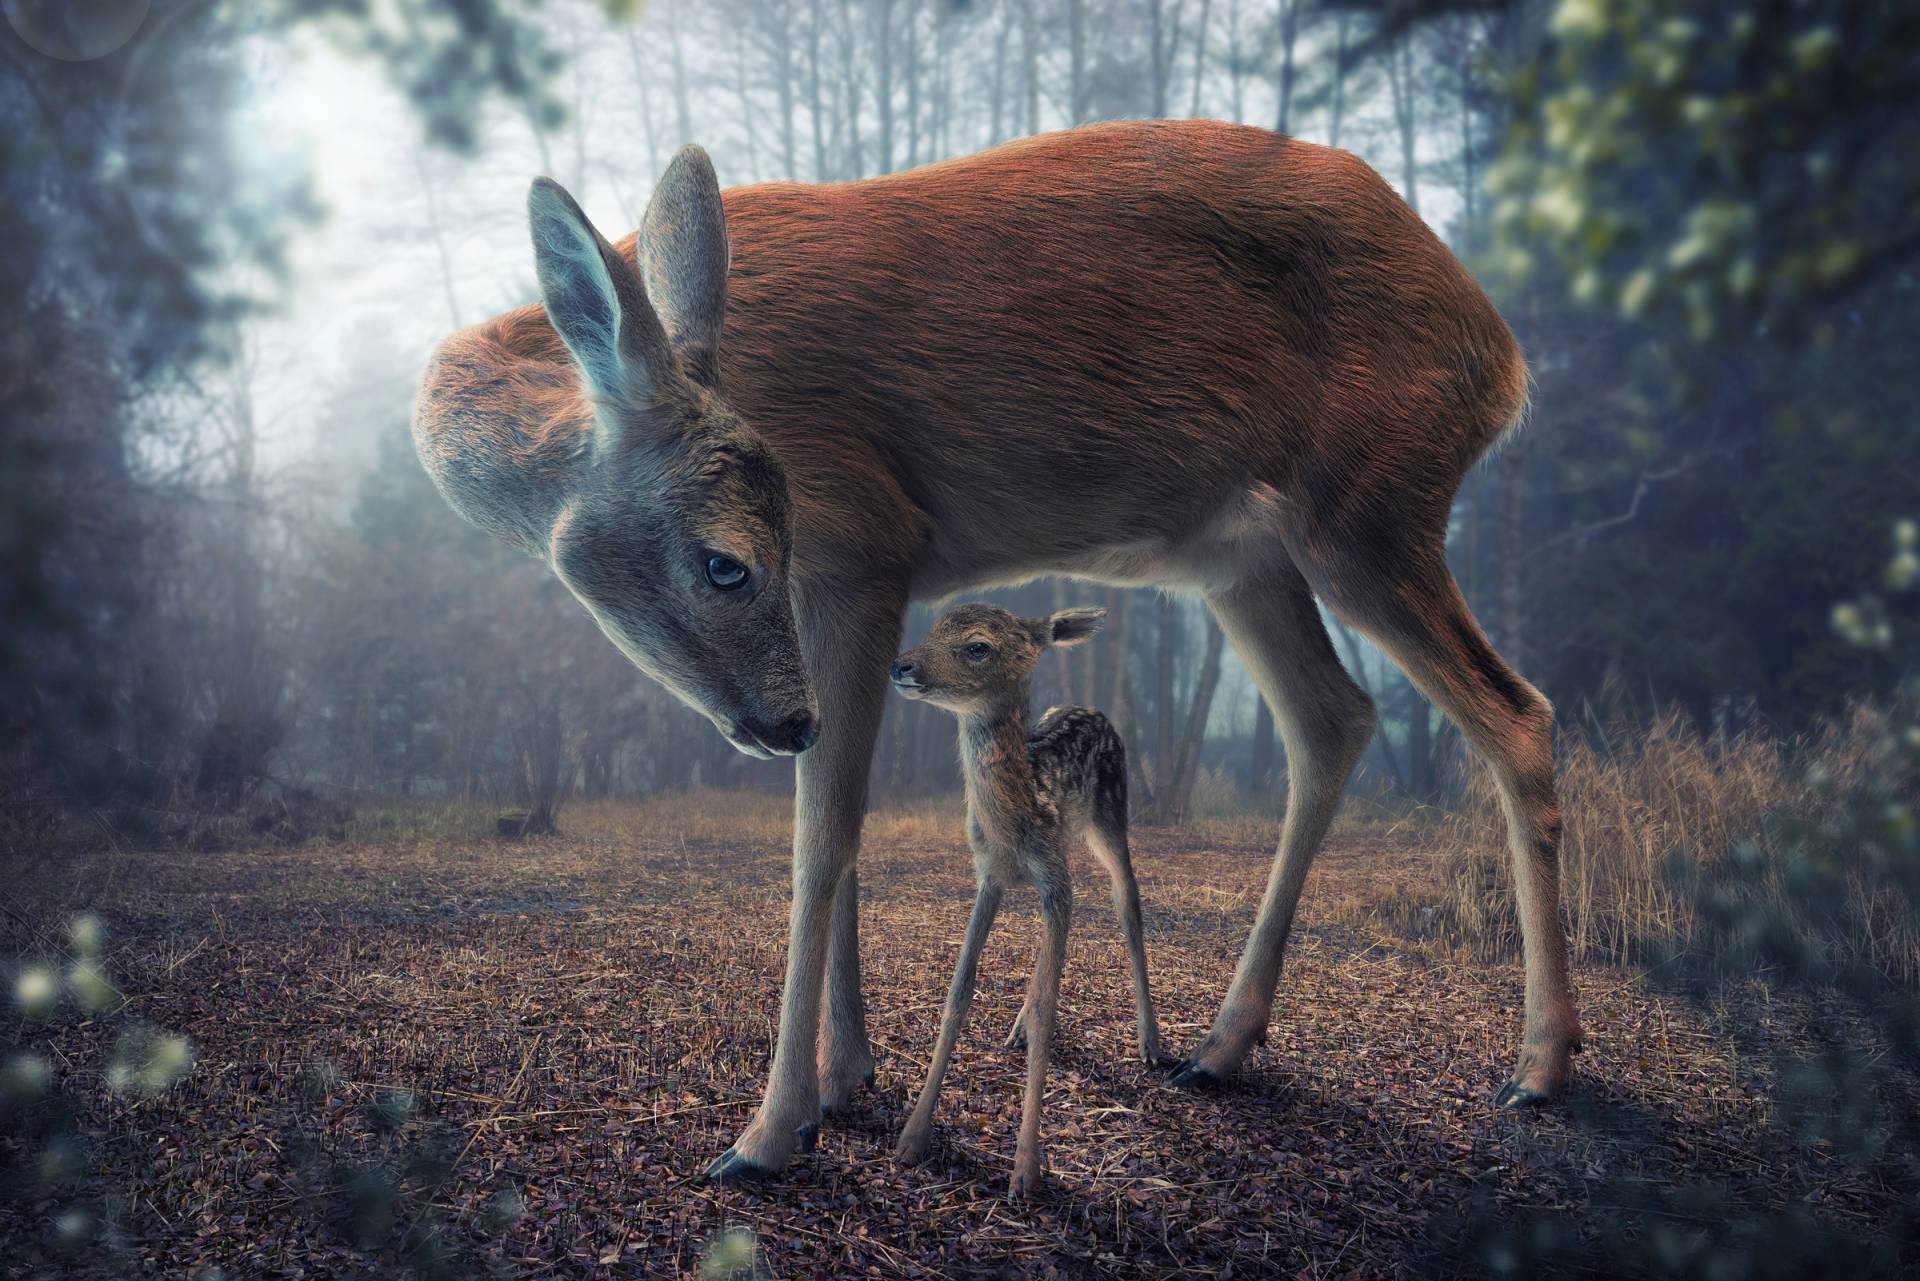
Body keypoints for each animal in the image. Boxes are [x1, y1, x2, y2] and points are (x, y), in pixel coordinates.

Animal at [412, 117, 1582, 1183]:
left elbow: (823, 836)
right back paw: (1218, 1047)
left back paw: (1539, 1067)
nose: (781, 719)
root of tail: (1504, 355)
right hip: (1240, 554)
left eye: (730, 562)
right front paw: (848, 1080)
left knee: (1516, 713)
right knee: (1334, 717)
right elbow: (845, 818)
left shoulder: (864, 540)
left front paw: (768, 1131)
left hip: (1370, 504)